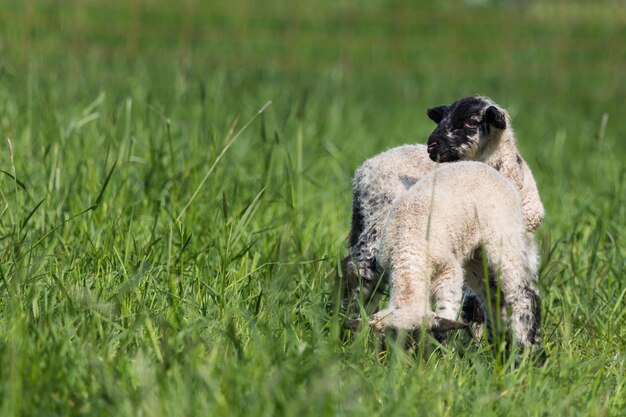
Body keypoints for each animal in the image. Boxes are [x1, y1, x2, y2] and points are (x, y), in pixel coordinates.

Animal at [336, 96, 540, 324]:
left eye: (471, 122)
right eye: (442, 118)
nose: (432, 144)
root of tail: (364, 169)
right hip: (378, 223)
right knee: (360, 271)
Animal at [368, 161, 540, 350]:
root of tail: (480, 165)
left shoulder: (449, 270)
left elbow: (446, 313)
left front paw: (443, 350)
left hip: (504, 236)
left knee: (522, 295)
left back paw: (525, 346)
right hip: (475, 257)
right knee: (493, 297)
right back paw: (496, 344)